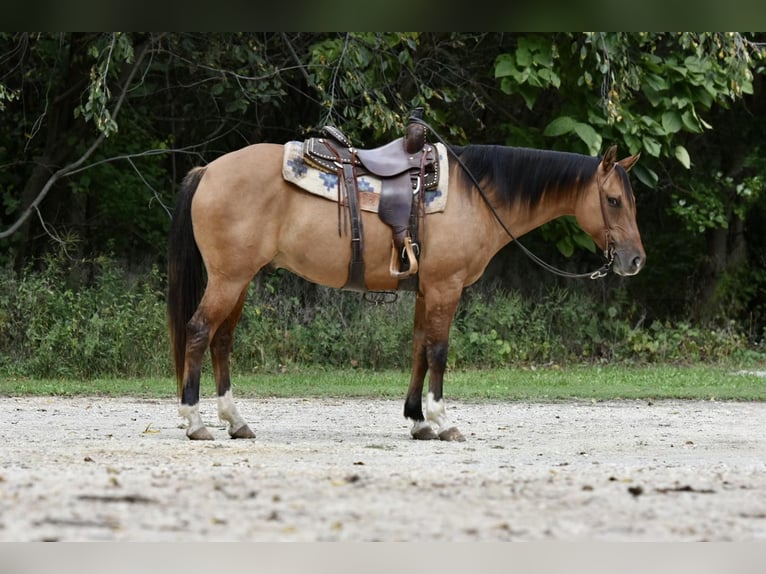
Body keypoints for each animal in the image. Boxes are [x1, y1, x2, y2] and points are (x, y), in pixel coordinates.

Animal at [168, 122, 648, 446]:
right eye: (612, 200)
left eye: (632, 200)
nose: (634, 260)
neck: (476, 196)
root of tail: (208, 170)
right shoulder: (445, 287)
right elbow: (438, 351)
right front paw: (443, 420)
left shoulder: (425, 290)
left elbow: (418, 347)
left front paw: (418, 421)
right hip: (229, 279)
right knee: (198, 331)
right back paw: (195, 422)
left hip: (240, 280)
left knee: (222, 340)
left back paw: (236, 421)